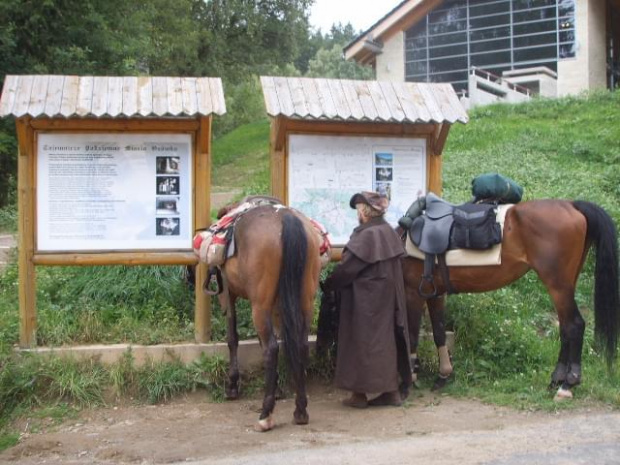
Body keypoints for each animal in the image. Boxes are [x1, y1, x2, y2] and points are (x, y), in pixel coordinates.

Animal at [212, 199, 322, 432]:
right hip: (305, 302)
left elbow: (232, 338)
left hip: (259, 306)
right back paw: (300, 410)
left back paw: (265, 414)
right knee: (300, 345)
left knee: (271, 349)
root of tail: (285, 219)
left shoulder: (228, 294)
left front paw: (232, 385)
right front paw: (278, 387)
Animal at [402, 198, 620, 396]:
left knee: (574, 325)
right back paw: (556, 380)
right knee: (565, 327)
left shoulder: (413, 293)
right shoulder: (435, 294)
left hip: (557, 285)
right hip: (566, 285)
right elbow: (438, 333)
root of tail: (571, 205)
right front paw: (443, 375)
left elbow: (411, 335)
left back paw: (567, 384)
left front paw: (411, 377)